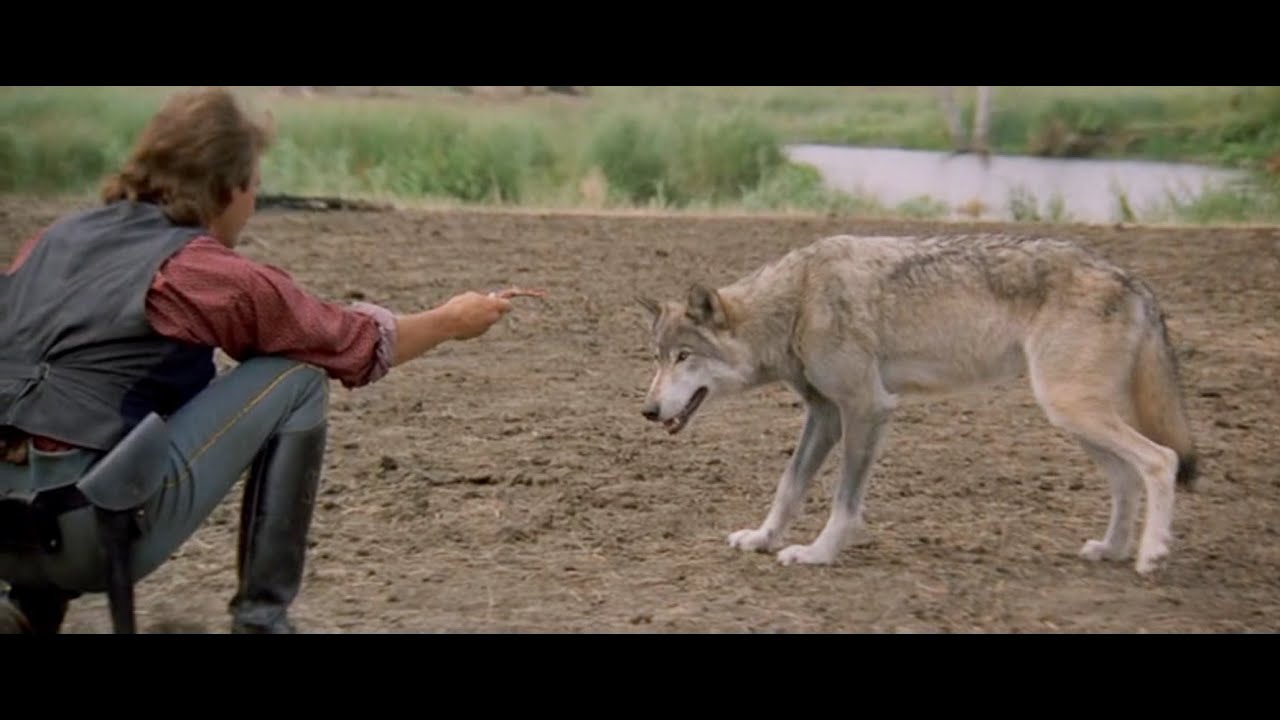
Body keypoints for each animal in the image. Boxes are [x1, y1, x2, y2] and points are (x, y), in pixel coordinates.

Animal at [637, 232, 1198, 576]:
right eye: (657, 359)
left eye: (684, 357)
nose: (648, 410)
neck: (798, 302)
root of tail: (1131, 278)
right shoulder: (825, 415)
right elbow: (788, 487)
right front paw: (761, 538)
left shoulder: (866, 409)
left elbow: (843, 503)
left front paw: (818, 554)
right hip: (1072, 416)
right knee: (1126, 478)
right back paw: (1112, 549)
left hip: (1071, 408)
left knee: (1161, 461)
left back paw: (1150, 555)